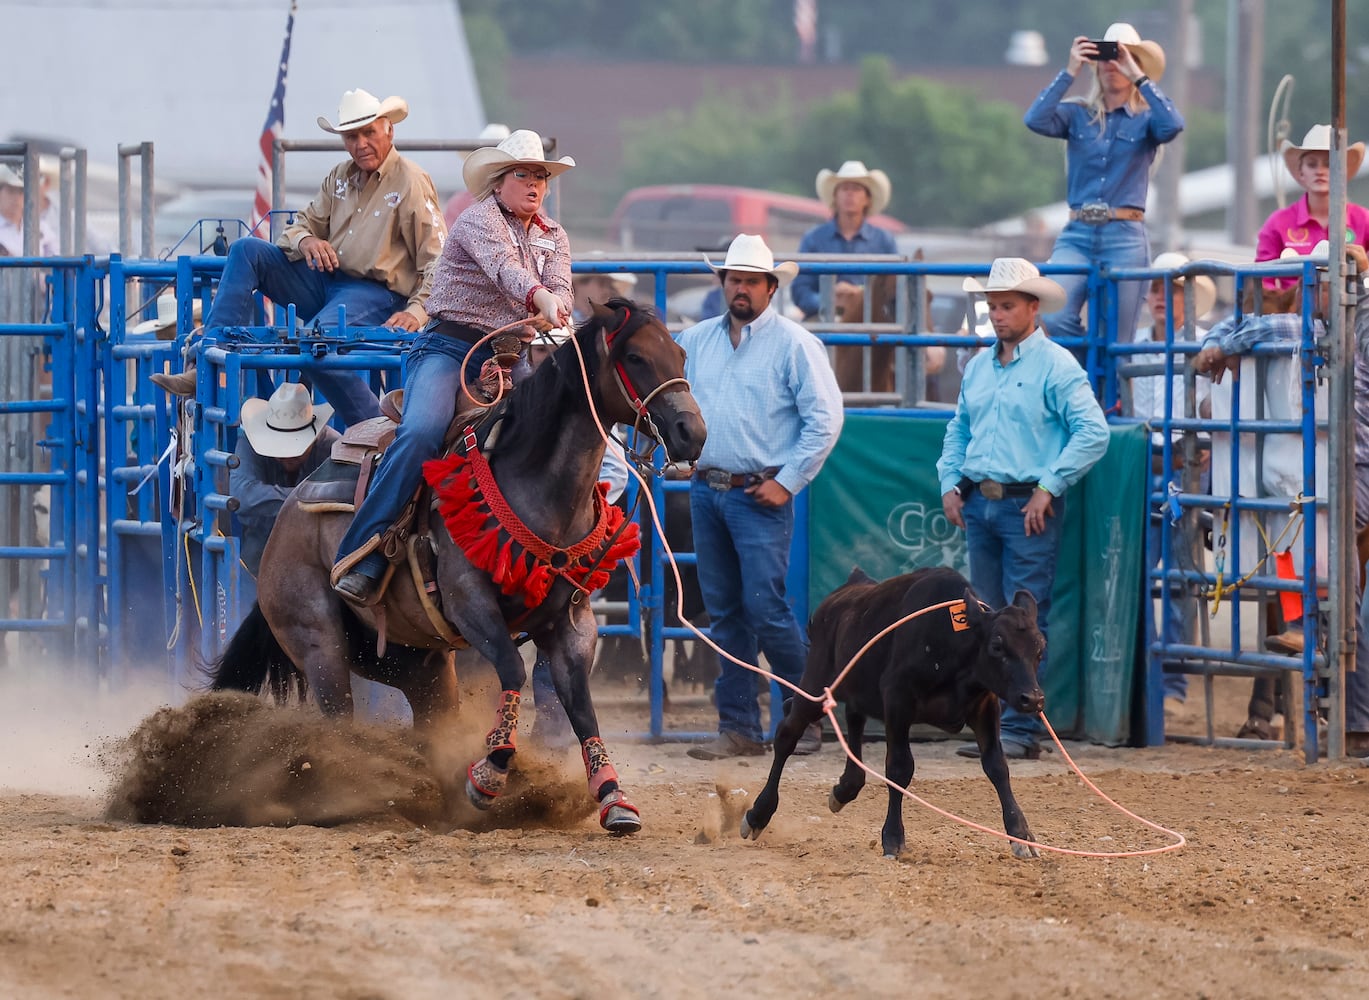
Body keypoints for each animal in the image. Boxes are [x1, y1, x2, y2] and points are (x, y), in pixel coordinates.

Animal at [216, 300, 706, 827]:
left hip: (413, 664)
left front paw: (613, 796)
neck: (538, 487)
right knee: (337, 716)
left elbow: (579, 703)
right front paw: (490, 772)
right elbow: (512, 668)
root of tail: (286, 516)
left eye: (680, 353)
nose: (693, 433)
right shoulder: (470, 603)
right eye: (635, 357)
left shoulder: (571, 619)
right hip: (318, 642)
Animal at [744, 569, 1040, 854]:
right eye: (997, 647)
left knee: (853, 720)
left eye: (1039, 649)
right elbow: (899, 768)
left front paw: (1020, 835)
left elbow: (997, 765)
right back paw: (758, 814)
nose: (1033, 698)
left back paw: (844, 789)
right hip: (816, 687)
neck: (950, 640)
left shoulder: (985, 705)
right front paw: (893, 837)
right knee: (787, 733)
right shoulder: (898, 701)